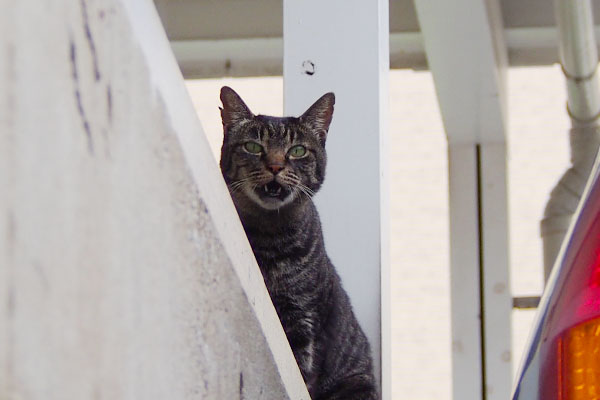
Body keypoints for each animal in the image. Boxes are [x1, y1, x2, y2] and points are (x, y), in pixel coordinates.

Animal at [220, 87, 378, 400]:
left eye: (298, 151)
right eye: (253, 146)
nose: (275, 165)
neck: (269, 235)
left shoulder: (303, 319)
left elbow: (302, 375)